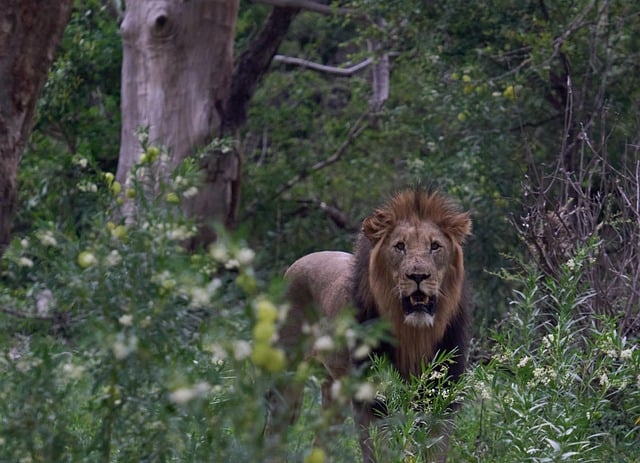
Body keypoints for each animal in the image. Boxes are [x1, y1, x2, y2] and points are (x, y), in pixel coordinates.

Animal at [264, 189, 470, 463]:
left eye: (435, 246)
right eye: (400, 246)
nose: (418, 276)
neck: (414, 335)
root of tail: (299, 261)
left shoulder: (443, 394)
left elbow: (435, 449)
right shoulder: (369, 397)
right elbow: (378, 449)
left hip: (335, 388)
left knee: (322, 439)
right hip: (287, 377)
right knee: (274, 434)